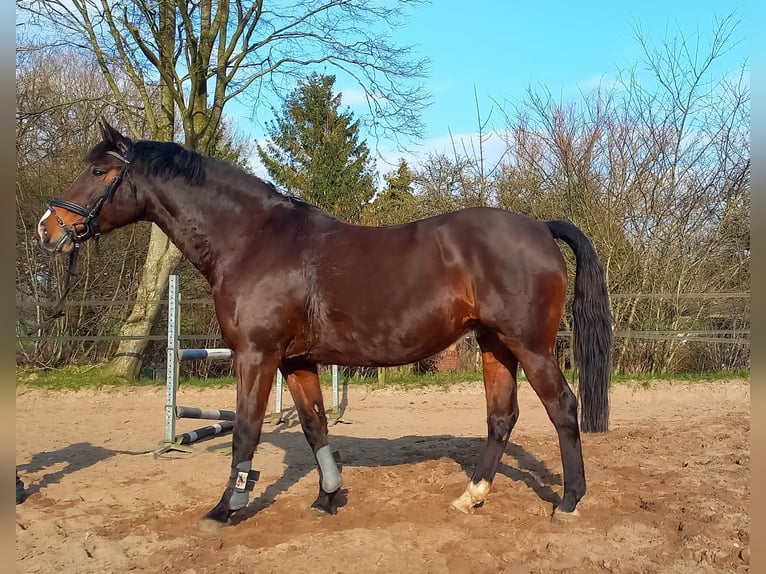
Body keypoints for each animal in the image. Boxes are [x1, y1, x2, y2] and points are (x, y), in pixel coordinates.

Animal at [36, 120, 616, 528]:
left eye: (99, 171)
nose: (48, 229)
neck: (253, 240)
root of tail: (539, 226)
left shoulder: (256, 355)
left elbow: (245, 429)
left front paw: (228, 506)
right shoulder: (295, 361)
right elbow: (315, 424)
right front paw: (328, 496)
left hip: (531, 346)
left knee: (563, 409)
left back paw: (568, 501)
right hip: (496, 345)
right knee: (501, 418)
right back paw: (471, 497)